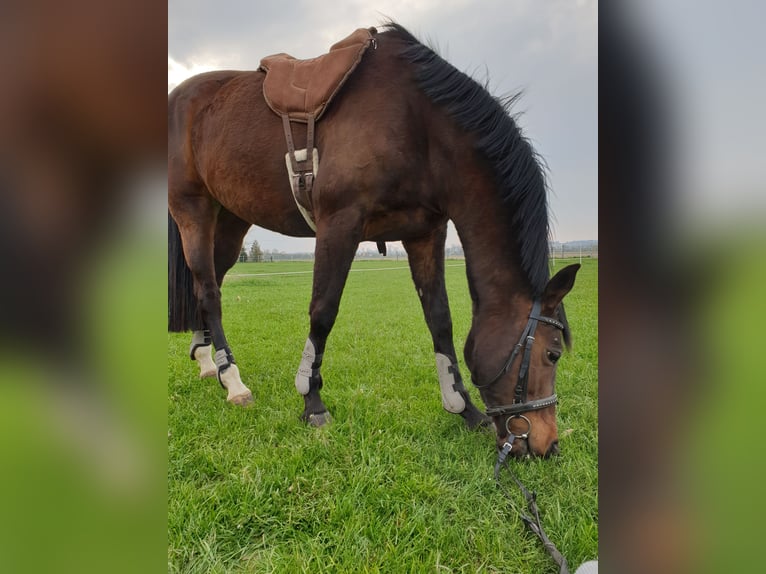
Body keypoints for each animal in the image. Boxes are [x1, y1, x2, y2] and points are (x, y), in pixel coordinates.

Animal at [166, 23, 576, 460]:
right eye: (552, 353)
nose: (548, 444)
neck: (419, 124)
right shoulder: (340, 223)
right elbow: (323, 311)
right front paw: (312, 400)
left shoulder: (424, 234)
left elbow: (440, 320)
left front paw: (462, 407)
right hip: (192, 209)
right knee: (209, 291)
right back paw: (232, 379)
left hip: (230, 218)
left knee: (209, 284)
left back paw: (207, 360)